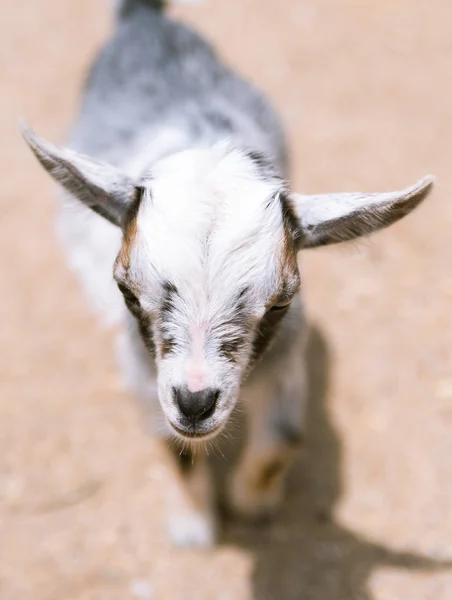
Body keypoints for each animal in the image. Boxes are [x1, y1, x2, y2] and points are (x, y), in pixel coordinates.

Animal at [22, 0, 434, 548]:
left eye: (281, 301)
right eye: (127, 291)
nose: (196, 403)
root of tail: (143, 20)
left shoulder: (286, 355)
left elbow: (284, 438)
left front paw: (253, 503)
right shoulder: (141, 372)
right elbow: (172, 446)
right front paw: (194, 527)